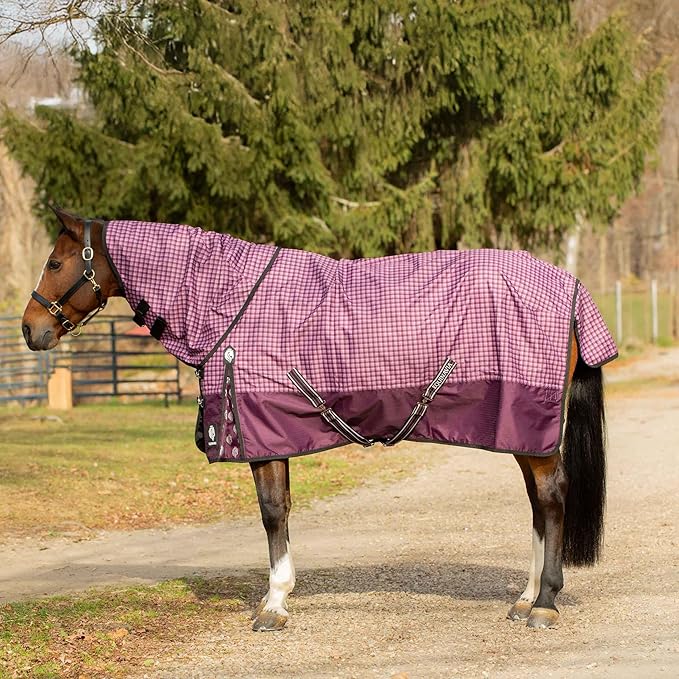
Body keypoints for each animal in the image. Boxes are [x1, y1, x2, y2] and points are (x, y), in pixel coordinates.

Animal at [22, 207, 614, 631]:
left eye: (54, 263)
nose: (30, 330)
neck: (231, 302)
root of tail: (570, 288)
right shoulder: (273, 437)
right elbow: (281, 510)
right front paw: (279, 598)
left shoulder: (260, 436)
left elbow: (271, 514)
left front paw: (273, 605)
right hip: (522, 434)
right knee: (538, 505)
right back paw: (525, 598)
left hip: (530, 429)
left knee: (553, 499)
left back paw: (545, 603)